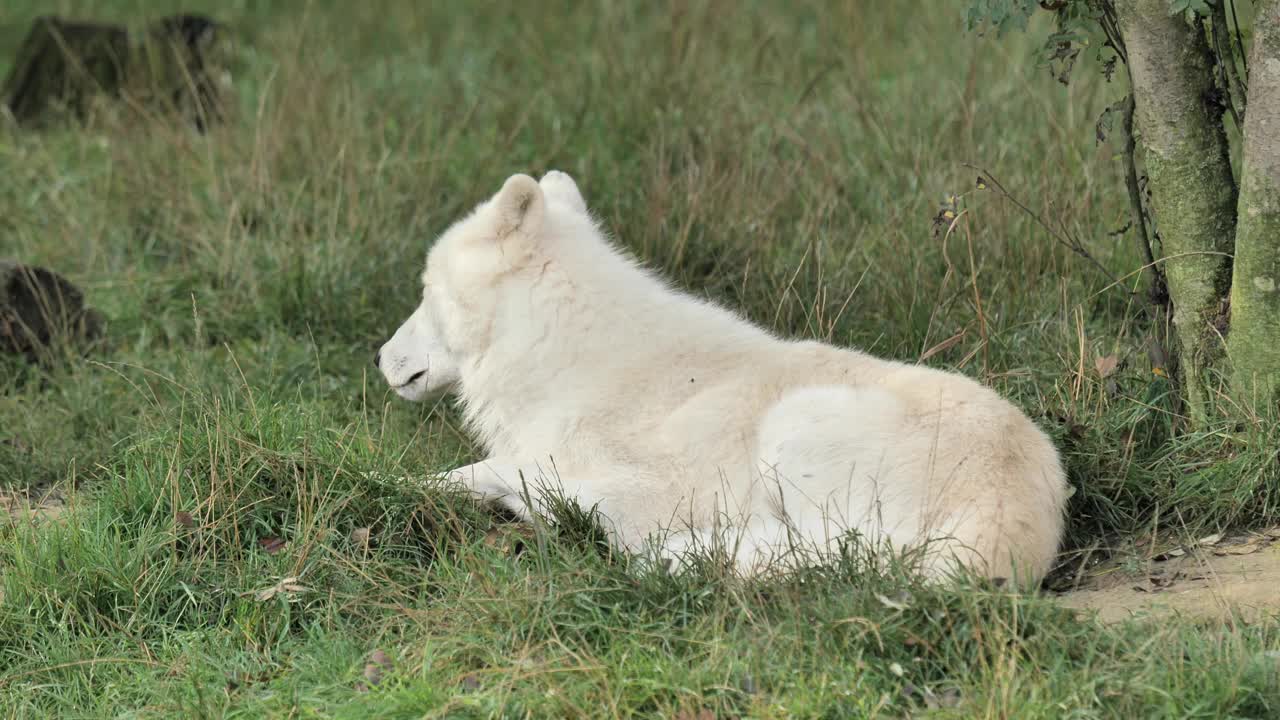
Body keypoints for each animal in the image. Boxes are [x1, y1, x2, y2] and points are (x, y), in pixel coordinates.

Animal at [376, 172, 1070, 584]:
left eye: (426, 291)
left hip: (796, 429)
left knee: (828, 555)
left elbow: (498, 475)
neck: (558, 356)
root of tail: (1015, 516)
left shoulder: (655, 487)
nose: (381, 357)